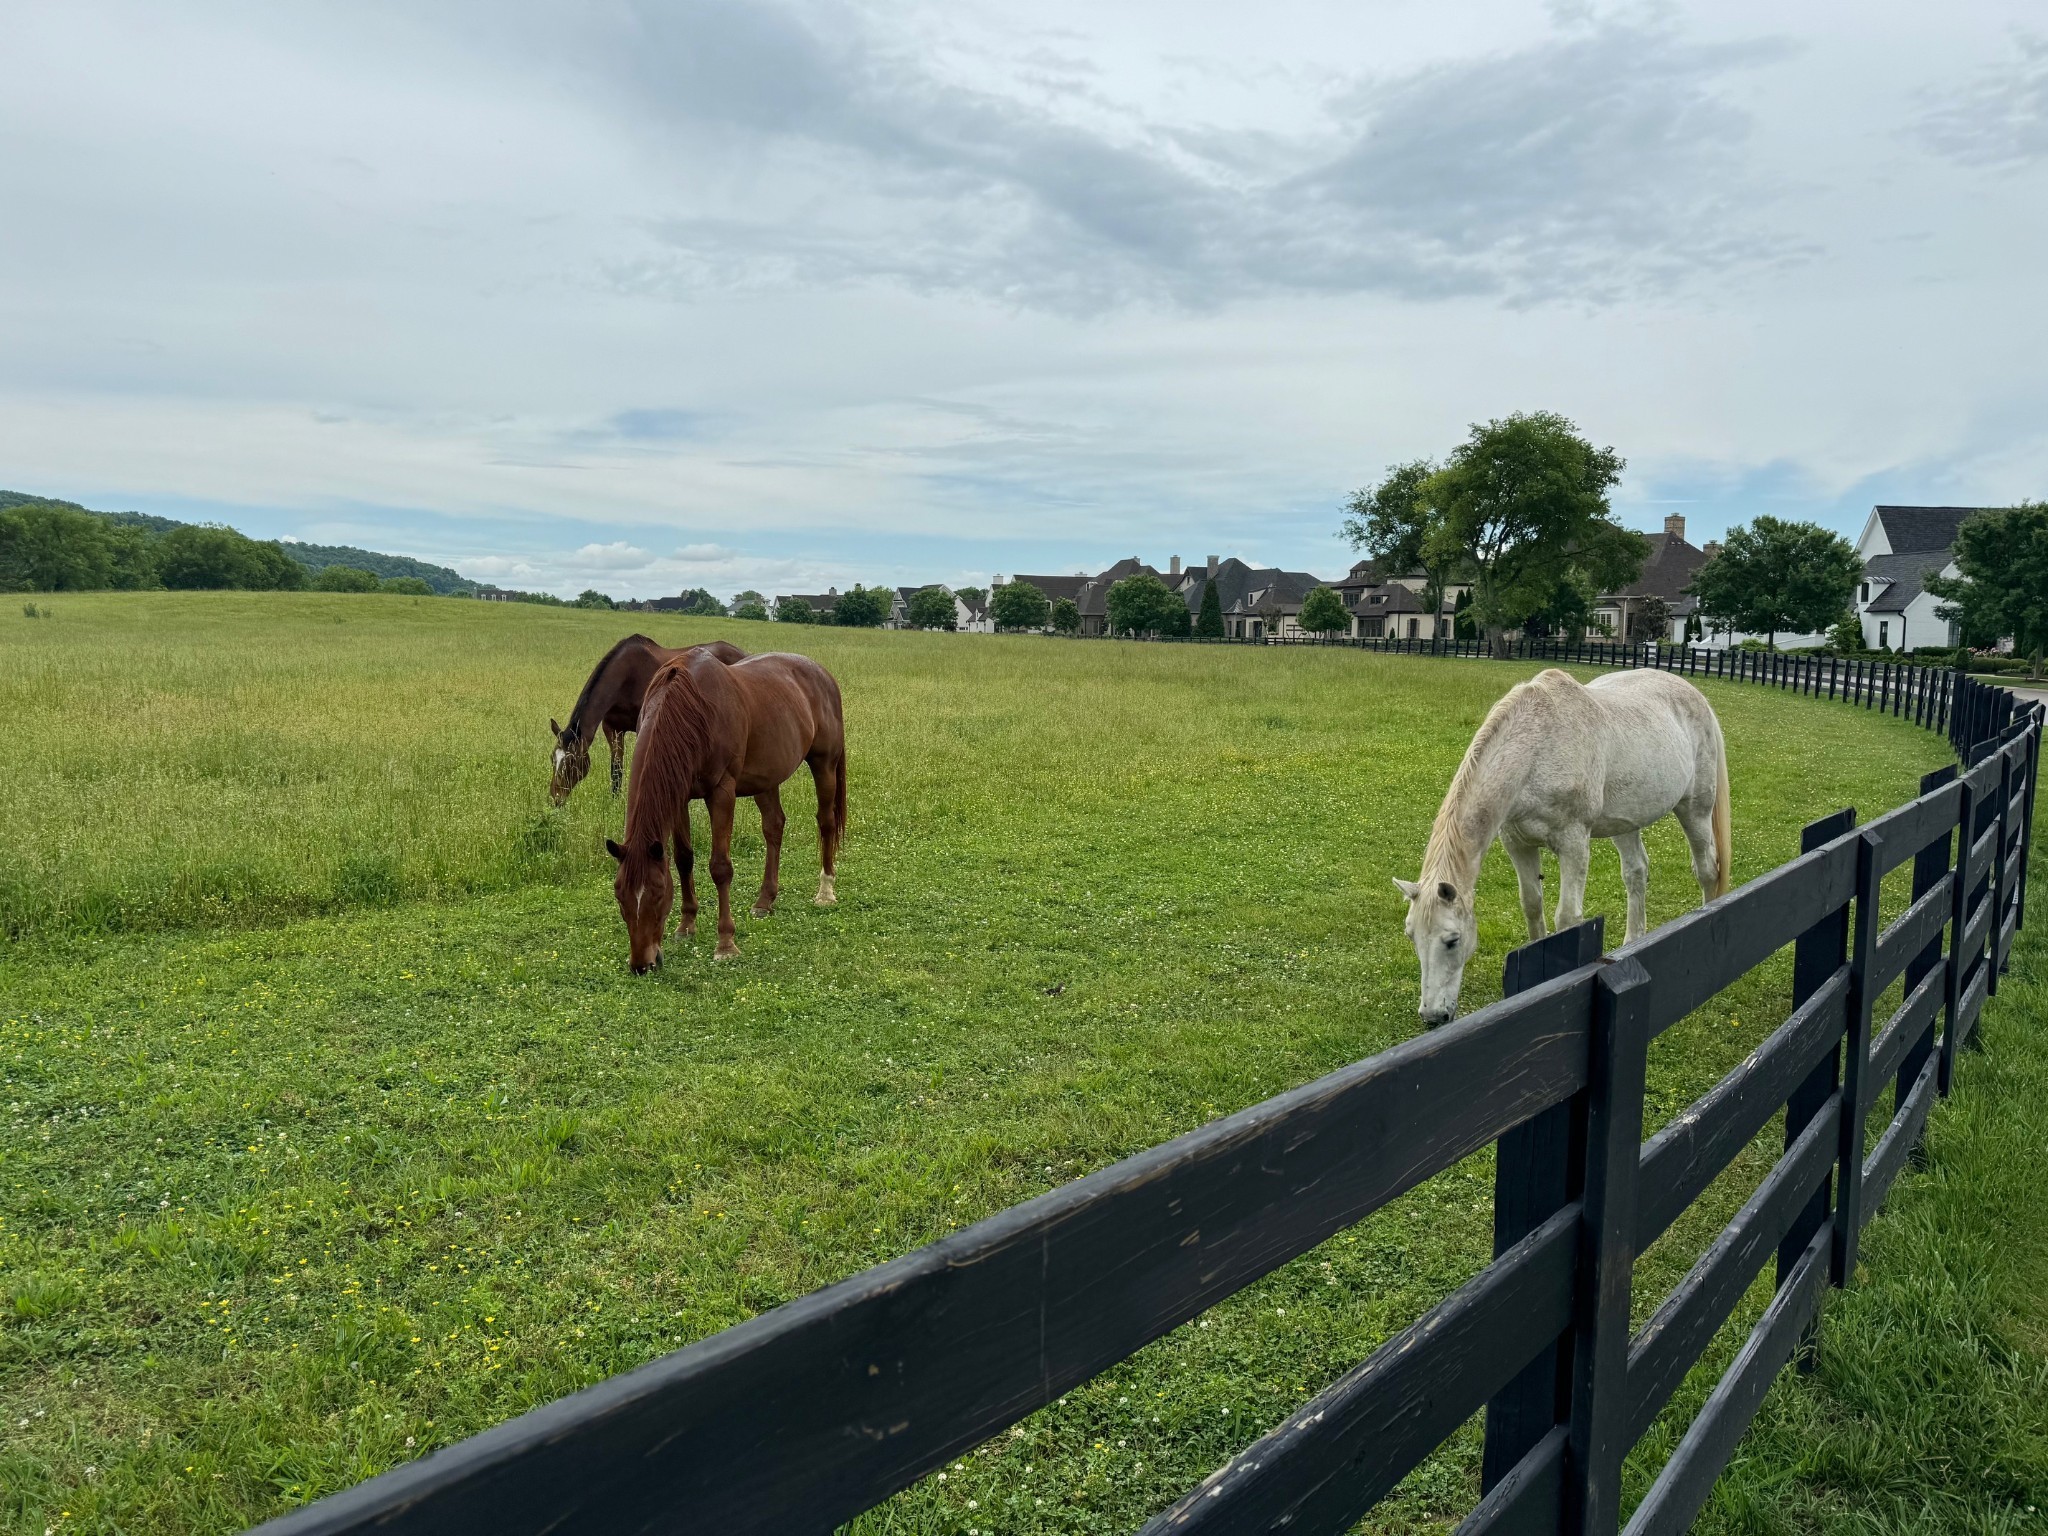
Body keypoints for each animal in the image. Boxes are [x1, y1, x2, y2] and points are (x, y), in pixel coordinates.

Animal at [549, 636, 747, 805]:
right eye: (553, 758)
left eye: (572, 762)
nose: (555, 799)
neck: (626, 676)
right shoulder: (612, 728)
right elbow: (616, 769)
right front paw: (615, 801)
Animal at [605, 648, 846, 971]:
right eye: (620, 897)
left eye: (657, 895)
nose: (642, 965)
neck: (691, 710)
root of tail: (822, 674)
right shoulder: (679, 795)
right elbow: (683, 859)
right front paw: (686, 925)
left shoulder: (721, 793)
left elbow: (720, 867)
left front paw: (725, 943)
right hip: (766, 777)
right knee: (774, 826)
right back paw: (764, 901)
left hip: (824, 764)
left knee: (826, 822)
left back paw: (826, 891)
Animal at [1395, 668, 1731, 1025]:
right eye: (1412, 936)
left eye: (1452, 940)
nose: (1433, 1016)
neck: (1538, 749)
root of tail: (1696, 696)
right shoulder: (1518, 845)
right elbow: (1532, 905)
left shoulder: (1573, 843)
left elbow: (1567, 917)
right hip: (1626, 821)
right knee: (1636, 873)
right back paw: (1632, 942)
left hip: (1695, 809)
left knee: (1707, 870)